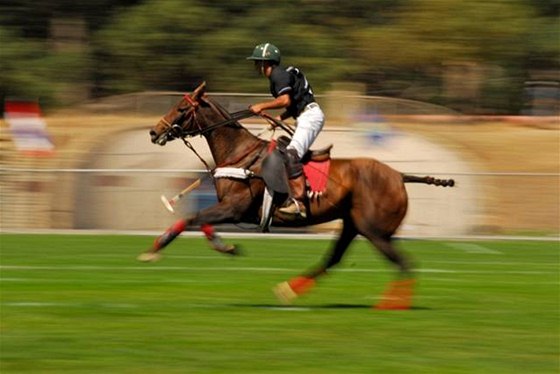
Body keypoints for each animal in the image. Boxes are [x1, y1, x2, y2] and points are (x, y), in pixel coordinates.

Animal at [140, 83, 456, 308]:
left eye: (182, 108)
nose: (154, 133)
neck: (240, 154)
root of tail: (399, 175)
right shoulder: (229, 208)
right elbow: (200, 220)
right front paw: (227, 247)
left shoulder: (235, 208)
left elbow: (192, 217)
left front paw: (155, 249)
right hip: (353, 225)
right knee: (334, 259)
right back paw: (289, 291)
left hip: (374, 230)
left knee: (404, 264)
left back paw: (390, 306)